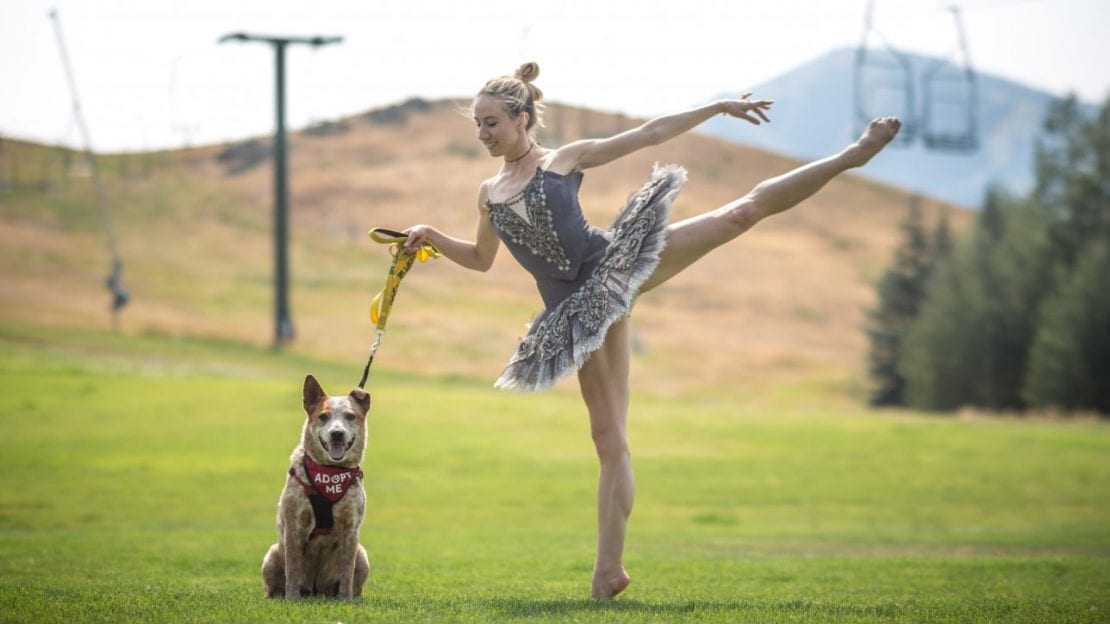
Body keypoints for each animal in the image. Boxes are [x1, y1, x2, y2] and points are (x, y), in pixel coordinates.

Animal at [261, 373, 370, 599]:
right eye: (323, 416)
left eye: (350, 416)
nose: (337, 433)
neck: (330, 473)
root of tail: (316, 591)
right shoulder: (295, 525)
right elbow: (293, 569)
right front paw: (292, 599)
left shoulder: (350, 529)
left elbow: (346, 573)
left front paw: (345, 600)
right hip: (271, 555)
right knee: (274, 586)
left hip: (362, 555)